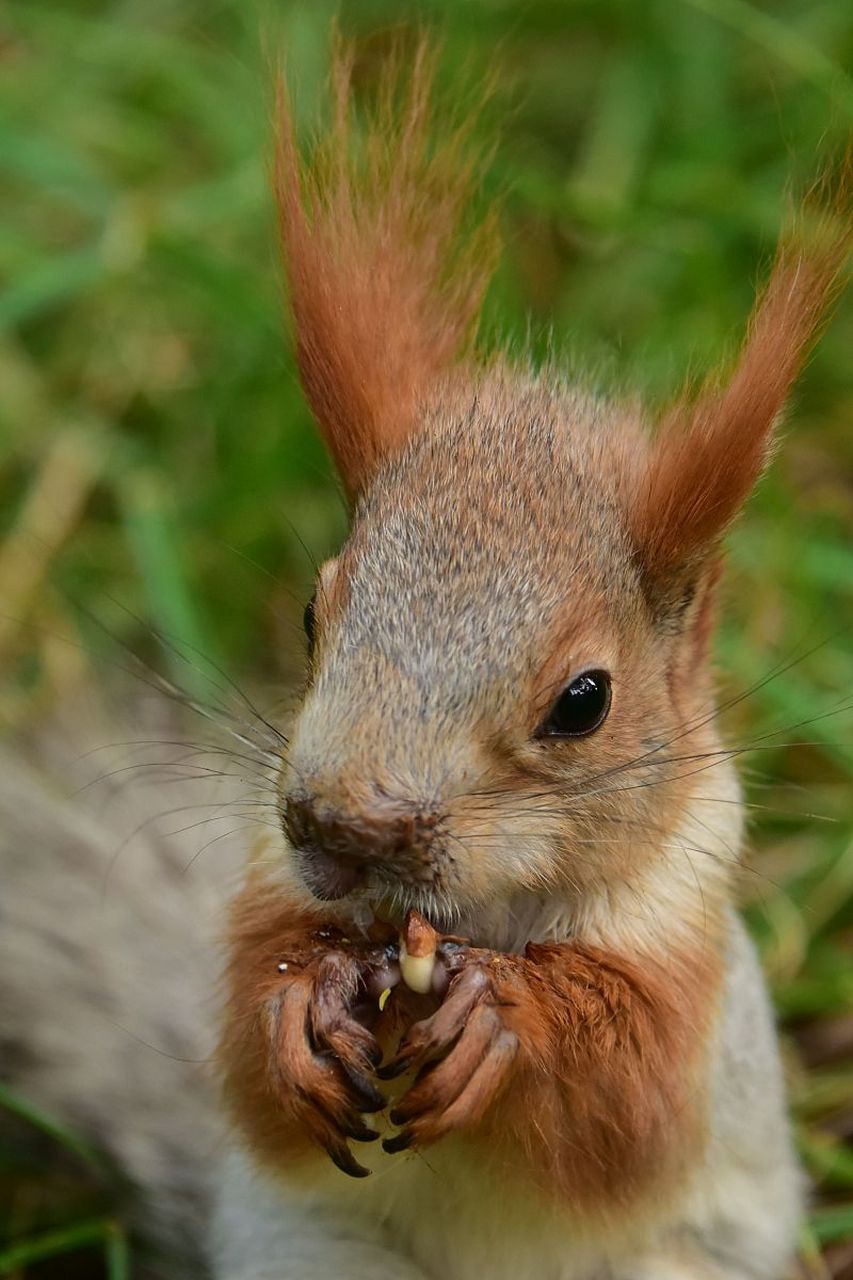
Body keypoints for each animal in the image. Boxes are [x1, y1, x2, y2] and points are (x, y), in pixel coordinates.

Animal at [0, 35, 845, 1280]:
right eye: (314, 613)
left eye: (584, 700)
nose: (344, 825)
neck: (474, 920)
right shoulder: (266, 879)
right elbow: (249, 1046)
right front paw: (299, 1011)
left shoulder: (691, 962)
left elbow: (624, 1104)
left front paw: (505, 1016)